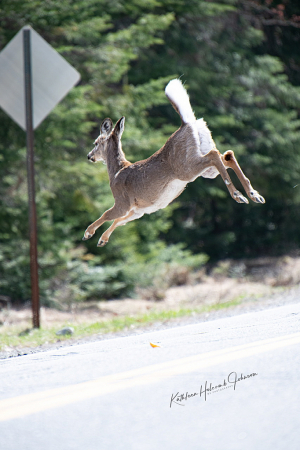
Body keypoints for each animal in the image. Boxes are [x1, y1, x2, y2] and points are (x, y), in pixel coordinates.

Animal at [82, 77, 264, 246]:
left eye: (96, 143)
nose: (89, 156)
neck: (116, 172)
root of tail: (187, 123)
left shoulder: (123, 202)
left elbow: (106, 214)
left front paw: (88, 233)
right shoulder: (139, 210)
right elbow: (119, 221)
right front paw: (102, 240)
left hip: (185, 168)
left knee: (214, 156)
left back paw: (238, 195)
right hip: (204, 166)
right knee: (226, 155)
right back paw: (254, 195)